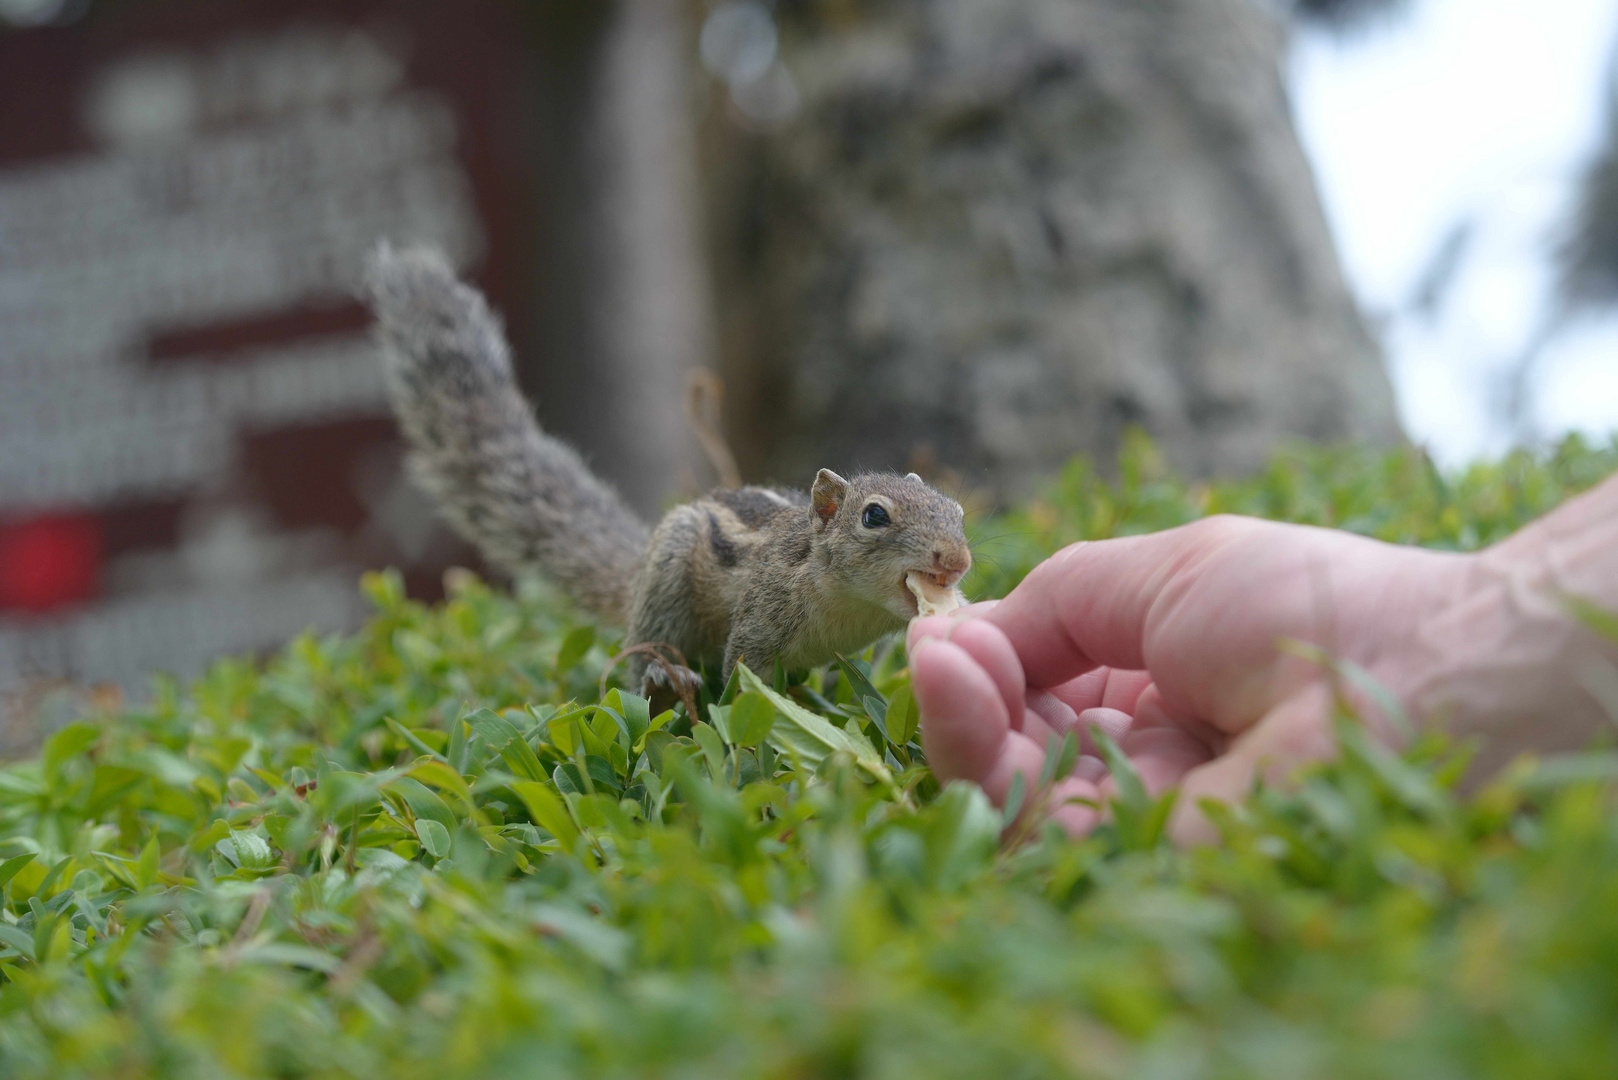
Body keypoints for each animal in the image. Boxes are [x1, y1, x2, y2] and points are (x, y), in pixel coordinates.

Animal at [364, 246, 970, 702]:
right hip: (667, 590)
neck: (852, 608)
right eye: (874, 517)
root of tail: (635, 581)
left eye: (958, 512)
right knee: (644, 655)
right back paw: (659, 675)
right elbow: (745, 686)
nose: (958, 561)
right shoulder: (759, 624)